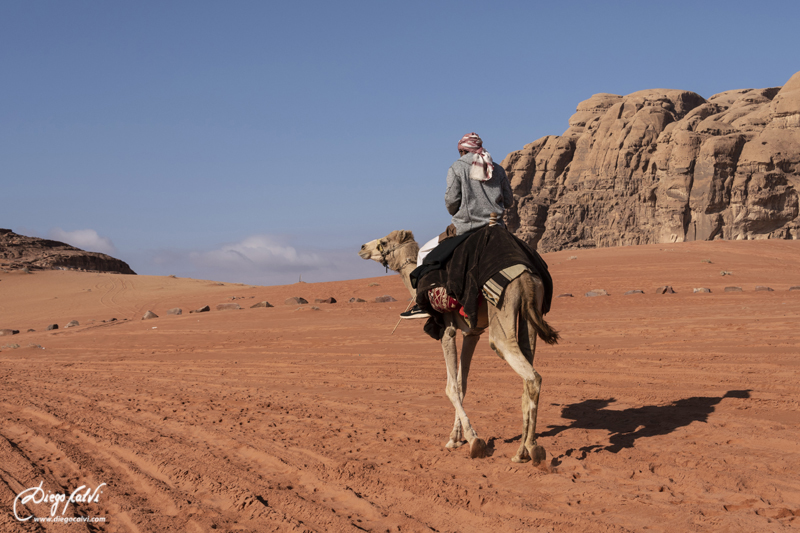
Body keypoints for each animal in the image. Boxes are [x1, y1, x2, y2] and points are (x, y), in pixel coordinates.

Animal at [360, 231, 560, 464]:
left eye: (383, 242)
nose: (363, 247)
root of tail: (527, 275)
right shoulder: (472, 333)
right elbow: (461, 383)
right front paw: (455, 438)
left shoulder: (447, 329)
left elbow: (451, 387)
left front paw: (474, 440)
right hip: (531, 308)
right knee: (527, 375)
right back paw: (522, 452)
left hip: (502, 308)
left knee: (529, 373)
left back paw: (531, 448)